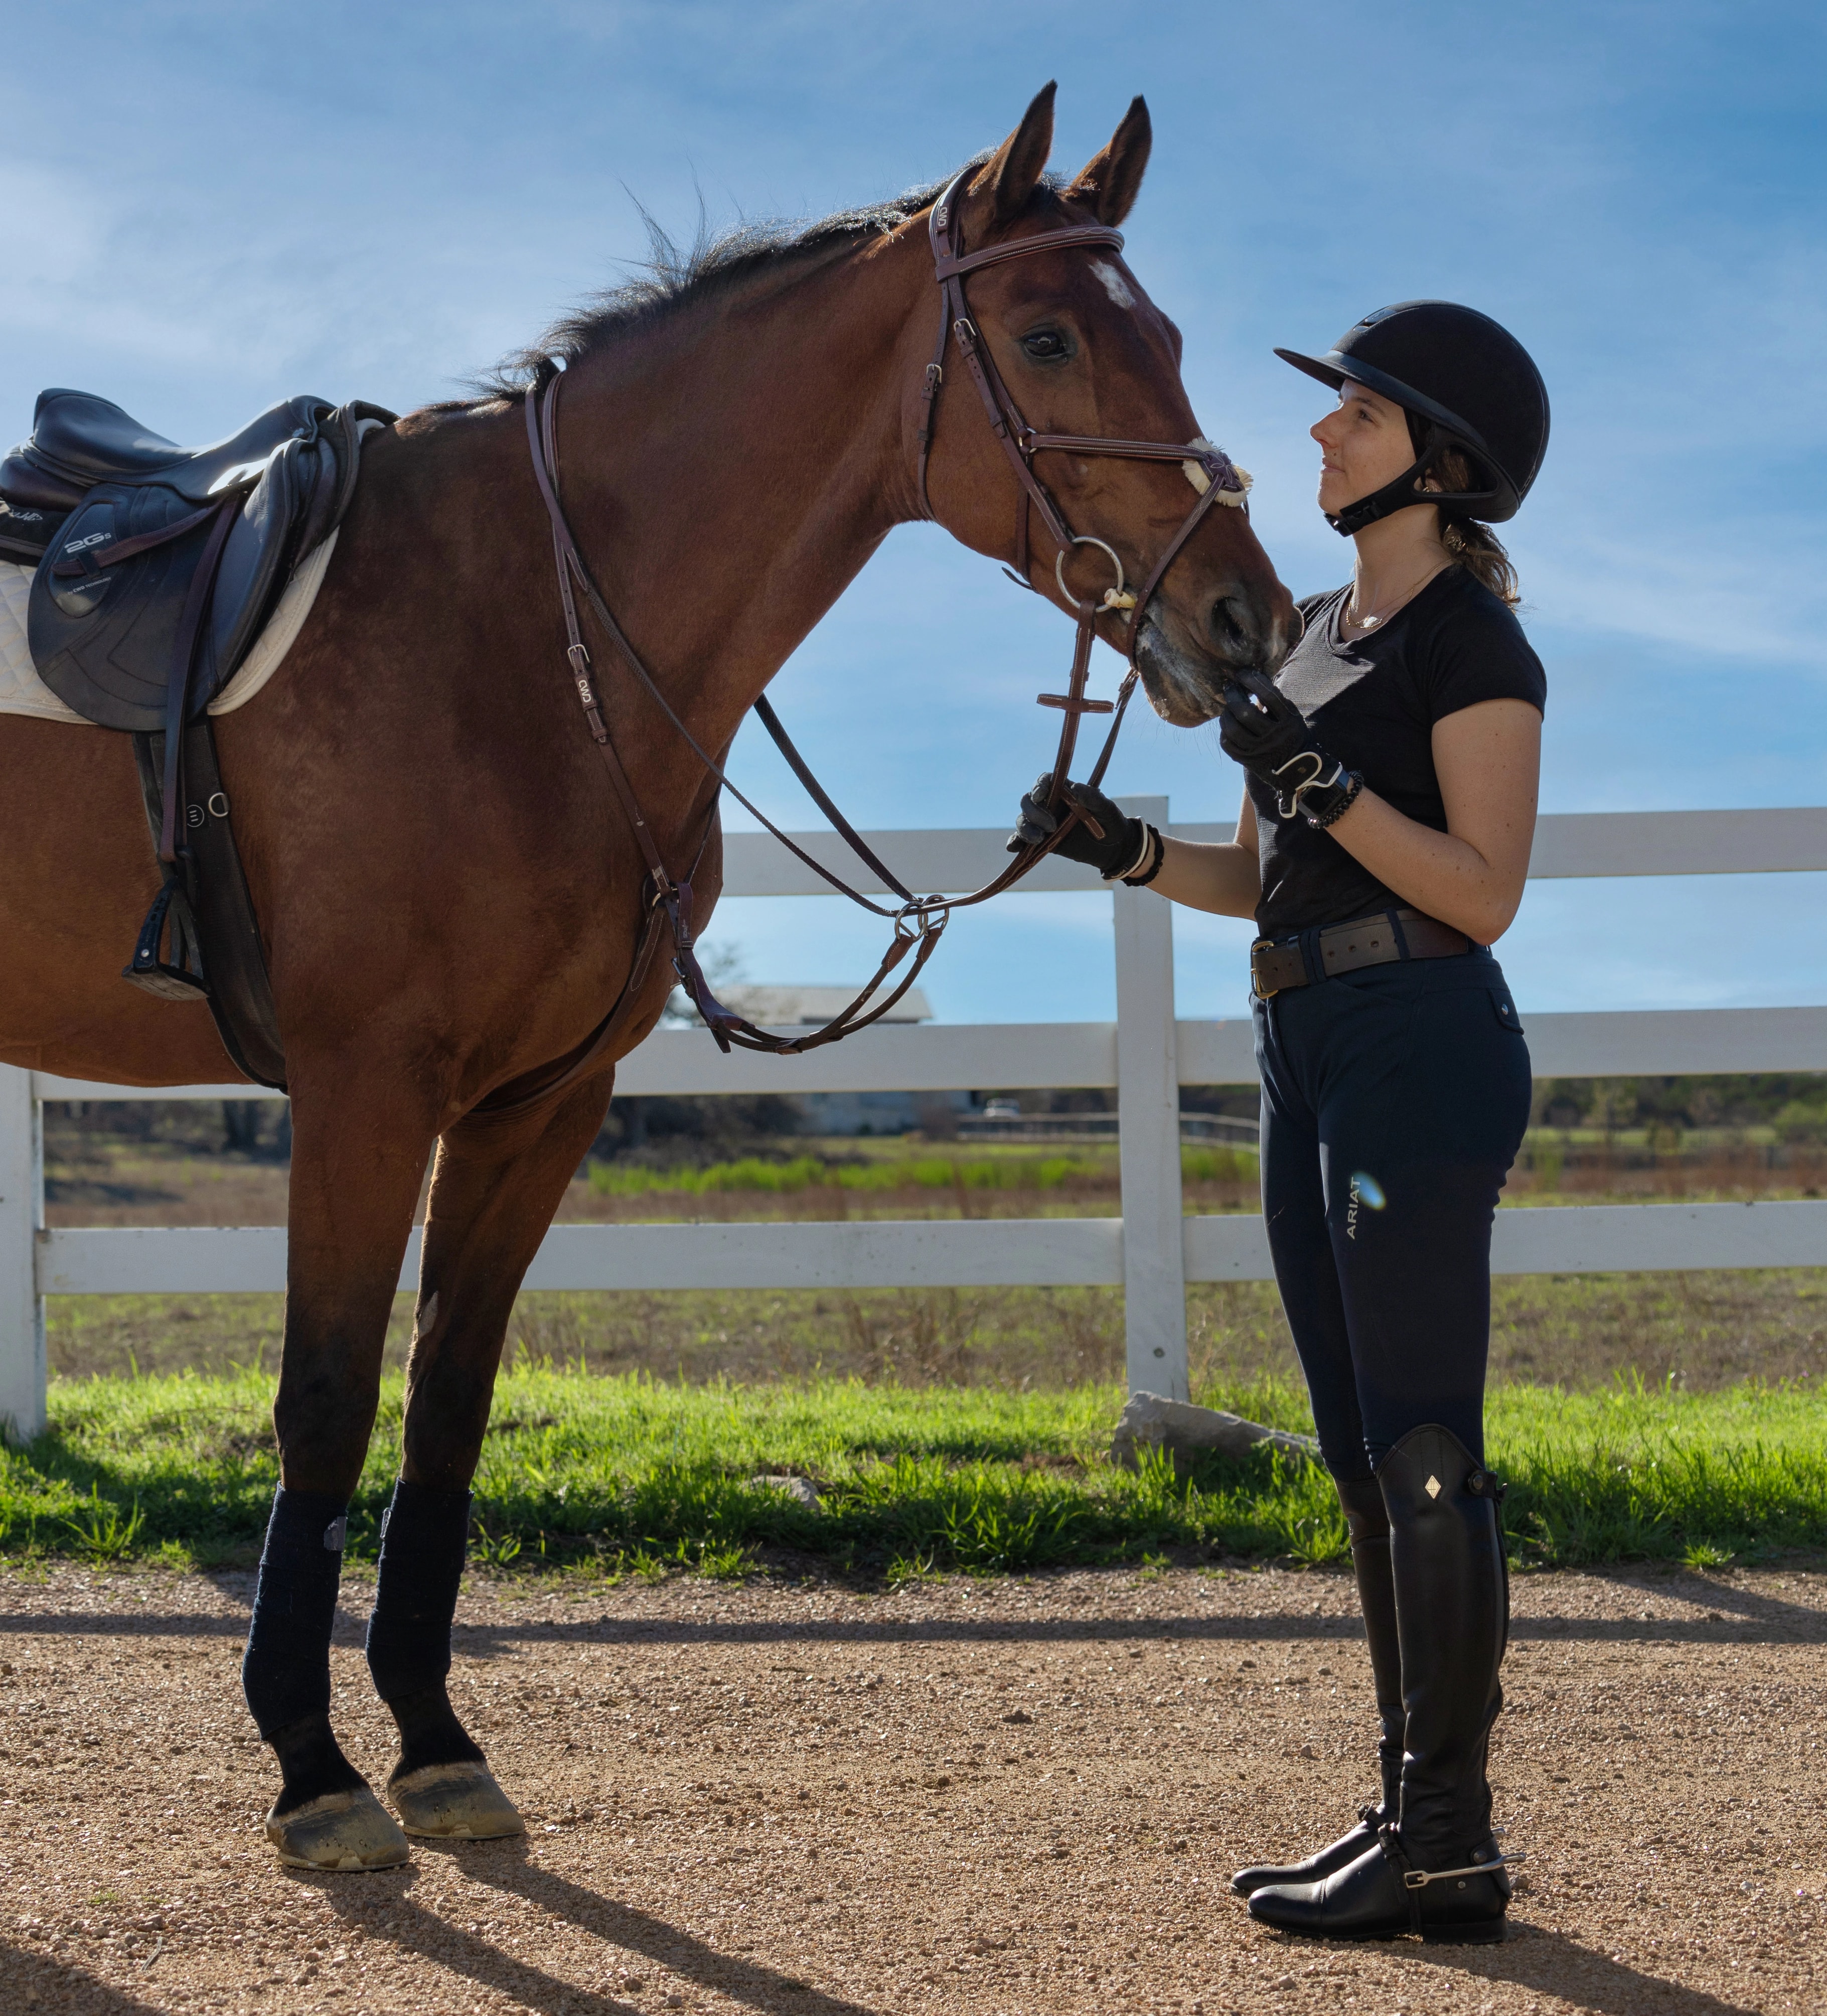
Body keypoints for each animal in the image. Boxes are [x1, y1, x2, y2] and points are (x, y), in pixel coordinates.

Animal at [0, 84, 1295, 1869]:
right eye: (1044, 336)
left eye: (1160, 333)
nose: (1249, 617)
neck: (523, 634)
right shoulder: (363, 1093)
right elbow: (326, 1404)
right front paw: (314, 1767)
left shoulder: (537, 1105)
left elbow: (448, 1408)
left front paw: (434, 1742)